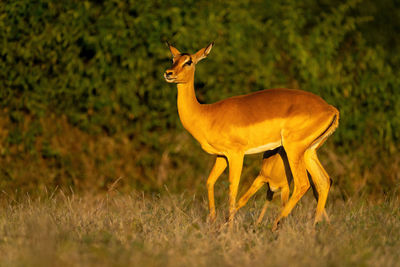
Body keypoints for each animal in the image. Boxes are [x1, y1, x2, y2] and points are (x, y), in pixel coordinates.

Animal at [164, 42, 340, 230]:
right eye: (173, 59)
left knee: (303, 184)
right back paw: (314, 228)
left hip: (293, 149)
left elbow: (232, 189)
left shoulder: (236, 154)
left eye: (188, 61)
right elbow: (210, 181)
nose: (168, 73)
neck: (206, 114)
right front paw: (212, 220)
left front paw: (228, 227)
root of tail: (331, 109)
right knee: (323, 181)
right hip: (308, 151)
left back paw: (275, 225)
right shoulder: (221, 156)